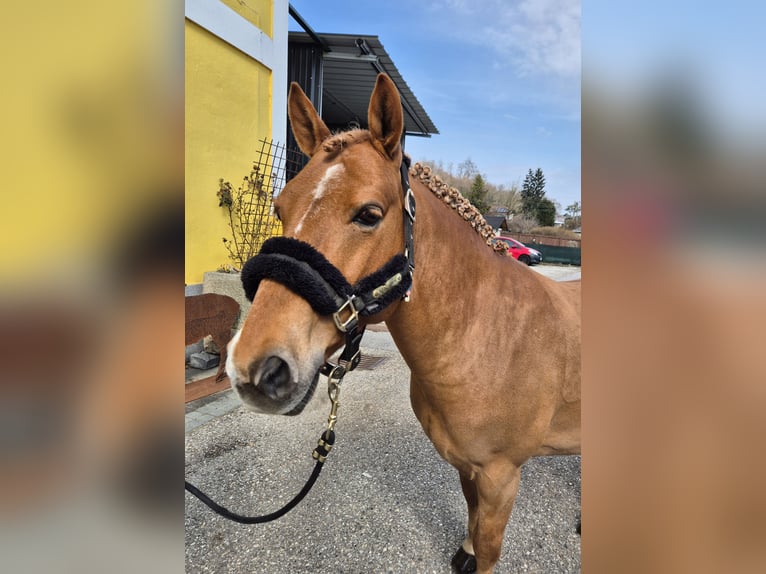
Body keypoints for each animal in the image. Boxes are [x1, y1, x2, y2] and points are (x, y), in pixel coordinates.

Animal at [226, 73, 581, 574]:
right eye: (279, 208)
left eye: (369, 214)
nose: (255, 369)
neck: (489, 341)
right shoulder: (468, 468)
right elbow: (470, 517)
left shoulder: (501, 477)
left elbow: (488, 545)